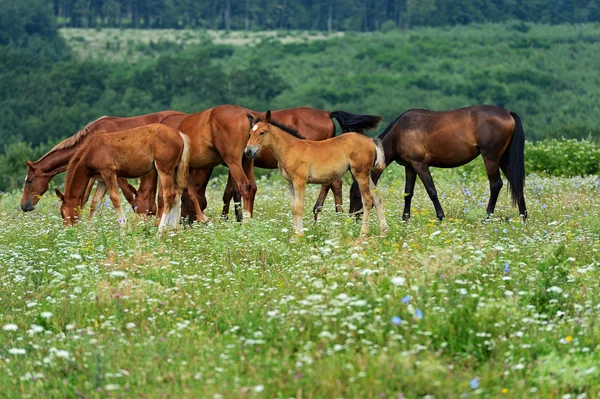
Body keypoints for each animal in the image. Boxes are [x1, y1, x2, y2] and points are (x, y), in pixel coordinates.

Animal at [54, 123, 190, 233]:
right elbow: (95, 203)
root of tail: (179, 134)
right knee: (177, 194)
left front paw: (123, 229)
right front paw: (88, 231)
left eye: (62, 213)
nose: (67, 230)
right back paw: (172, 229)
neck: (91, 151)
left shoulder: (109, 173)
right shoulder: (102, 180)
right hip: (174, 170)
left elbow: (115, 199)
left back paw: (160, 232)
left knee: (169, 196)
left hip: (164, 170)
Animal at [176, 106, 380, 223]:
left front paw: (230, 218)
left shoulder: (233, 163)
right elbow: (232, 191)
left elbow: (230, 192)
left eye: (183, 200)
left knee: (333, 184)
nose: (185, 222)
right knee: (333, 184)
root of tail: (327, 113)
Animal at [245, 110, 390, 238]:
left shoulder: (300, 181)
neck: (290, 148)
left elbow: (299, 207)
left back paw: (363, 234)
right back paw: (383, 232)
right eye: (250, 133)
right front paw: (294, 236)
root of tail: (370, 140)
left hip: (360, 173)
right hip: (365, 174)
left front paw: (299, 236)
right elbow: (293, 208)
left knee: (367, 199)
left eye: (262, 132)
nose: (248, 152)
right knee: (377, 196)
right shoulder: (290, 182)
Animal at [346, 104, 524, 220]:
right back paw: (523, 217)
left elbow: (431, 191)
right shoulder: (410, 167)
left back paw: (487, 217)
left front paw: (440, 216)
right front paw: (405, 219)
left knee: (495, 185)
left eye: (356, 195)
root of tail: (508, 113)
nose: (353, 217)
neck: (399, 133)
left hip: (491, 158)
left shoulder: (420, 165)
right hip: (504, 160)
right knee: (517, 184)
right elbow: (408, 193)